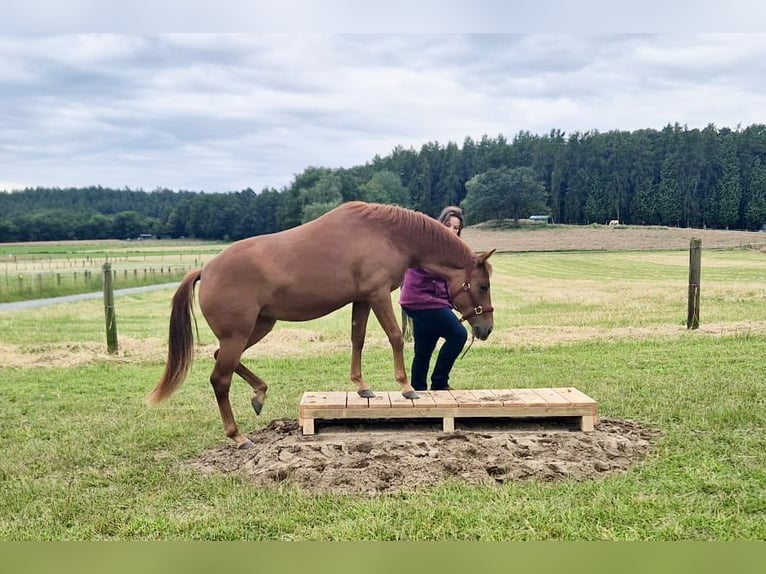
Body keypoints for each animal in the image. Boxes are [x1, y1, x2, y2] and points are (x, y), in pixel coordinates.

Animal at [147, 202, 498, 450]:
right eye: (482, 286)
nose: (486, 328)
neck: (387, 234)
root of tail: (206, 270)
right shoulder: (378, 294)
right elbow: (396, 336)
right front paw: (406, 387)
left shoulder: (362, 299)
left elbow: (358, 338)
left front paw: (361, 386)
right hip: (240, 334)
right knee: (220, 379)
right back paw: (238, 436)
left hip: (259, 327)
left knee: (223, 359)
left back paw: (260, 394)